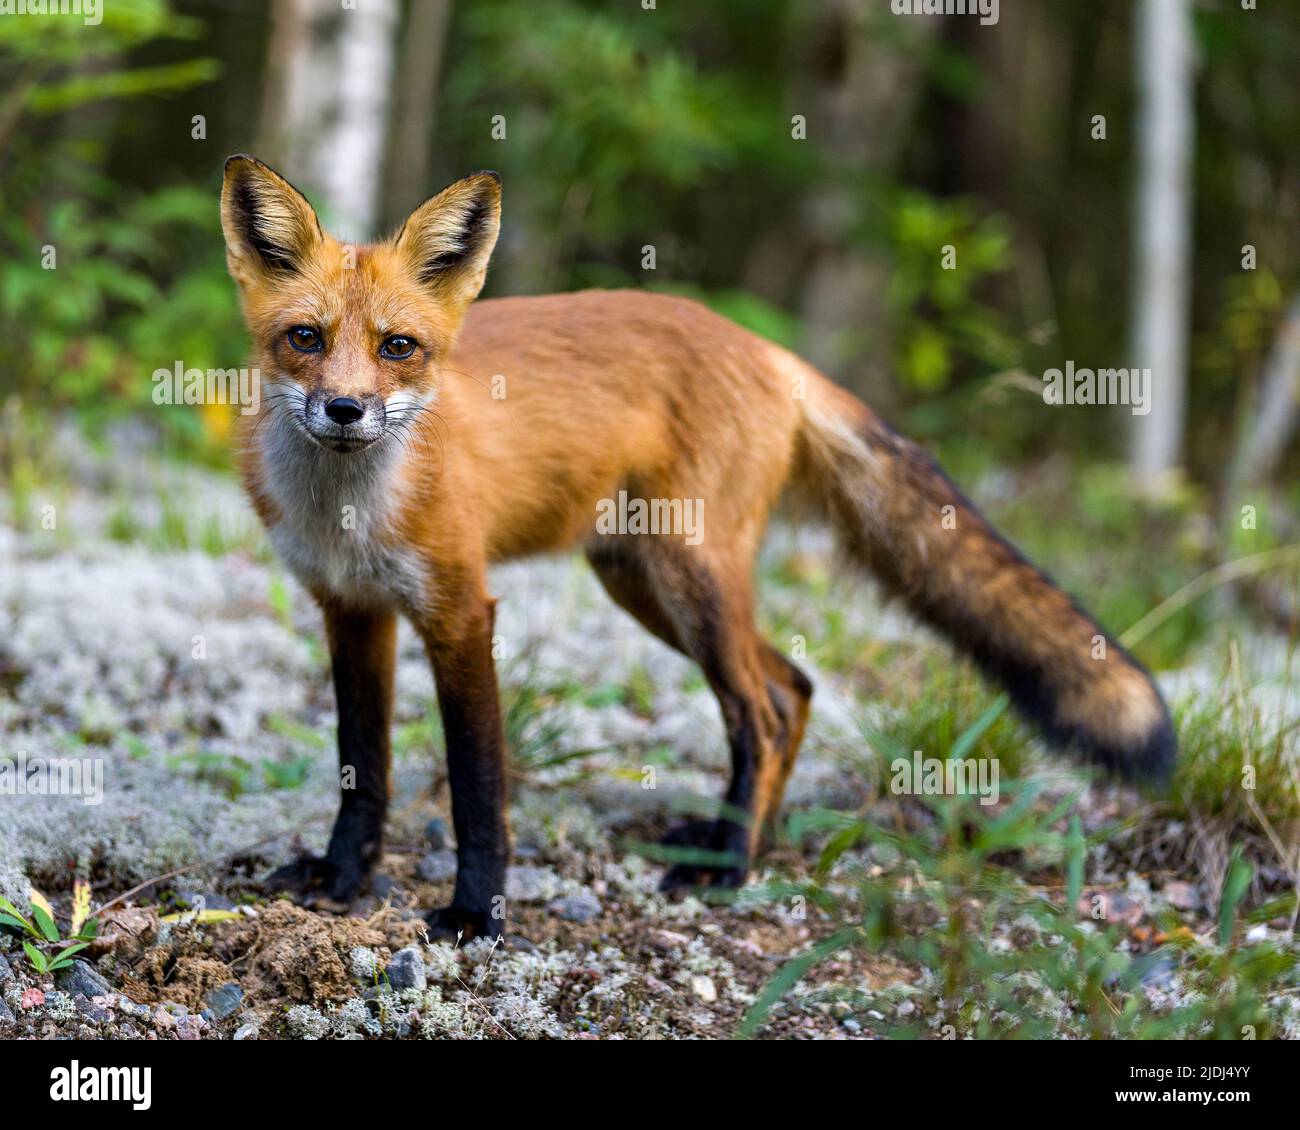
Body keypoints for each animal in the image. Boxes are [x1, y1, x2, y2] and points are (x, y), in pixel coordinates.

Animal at [220, 154, 1175, 940]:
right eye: (305, 338)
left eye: (398, 347)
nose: (346, 410)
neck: (350, 511)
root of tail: (767, 348)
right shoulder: (351, 607)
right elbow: (362, 766)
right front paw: (340, 877)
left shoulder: (460, 609)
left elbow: (479, 784)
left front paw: (475, 914)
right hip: (642, 583)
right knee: (794, 687)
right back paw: (740, 842)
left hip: (691, 579)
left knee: (761, 710)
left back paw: (731, 867)